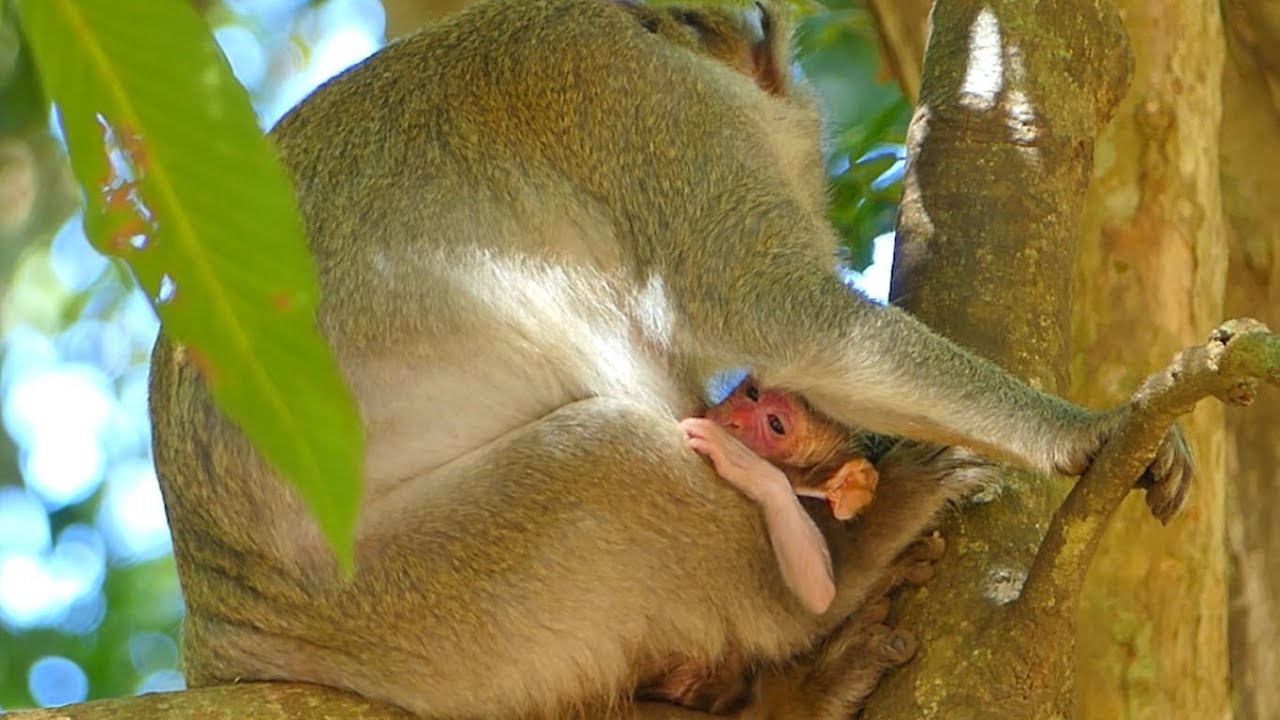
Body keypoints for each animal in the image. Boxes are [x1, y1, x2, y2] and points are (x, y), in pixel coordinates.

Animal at [148, 1, 1194, 718]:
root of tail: (221, 639)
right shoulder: (644, 103)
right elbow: (777, 310)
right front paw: (1085, 431)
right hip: (409, 609)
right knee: (607, 462)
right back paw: (834, 580)